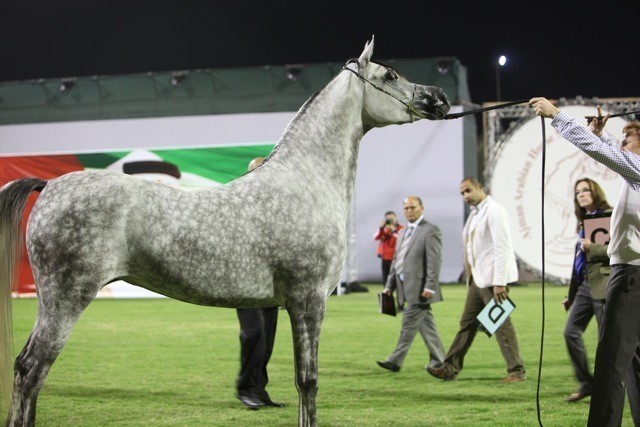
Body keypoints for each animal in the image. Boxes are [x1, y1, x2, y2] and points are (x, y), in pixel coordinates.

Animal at [0, 37, 450, 426]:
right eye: (389, 75)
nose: (440, 98)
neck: (305, 181)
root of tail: (50, 185)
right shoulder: (308, 302)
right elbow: (308, 382)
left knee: (25, 369)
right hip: (65, 300)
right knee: (30, 369)